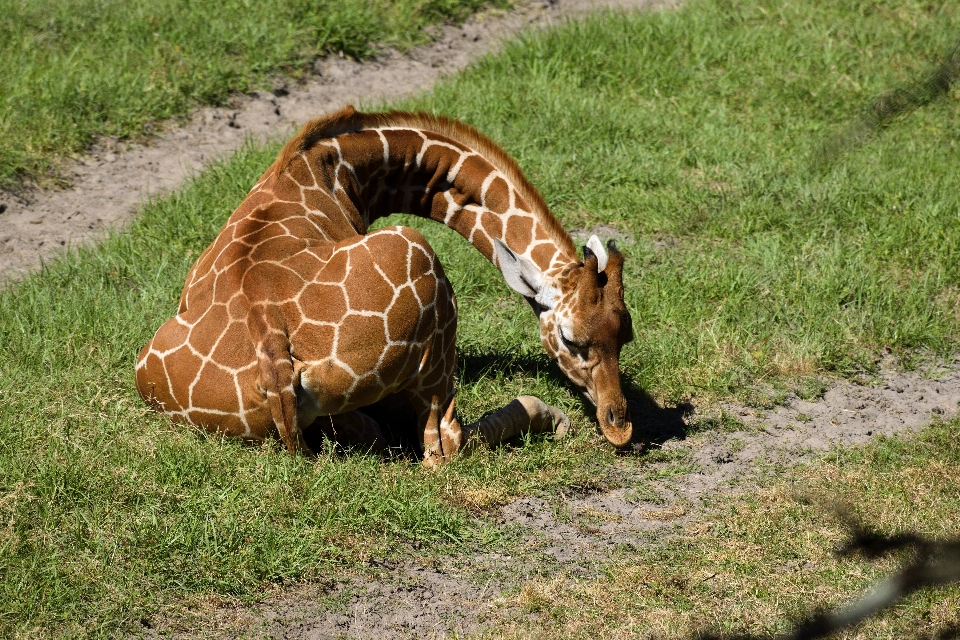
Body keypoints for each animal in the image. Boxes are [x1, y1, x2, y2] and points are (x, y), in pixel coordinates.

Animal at [133, 105, 632, 464]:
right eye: (569, 339)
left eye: (625, 335)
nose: (619, 425)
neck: (345, 167)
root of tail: (270, 344)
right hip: (423, 266)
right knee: (443, 449)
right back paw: (552, 418)